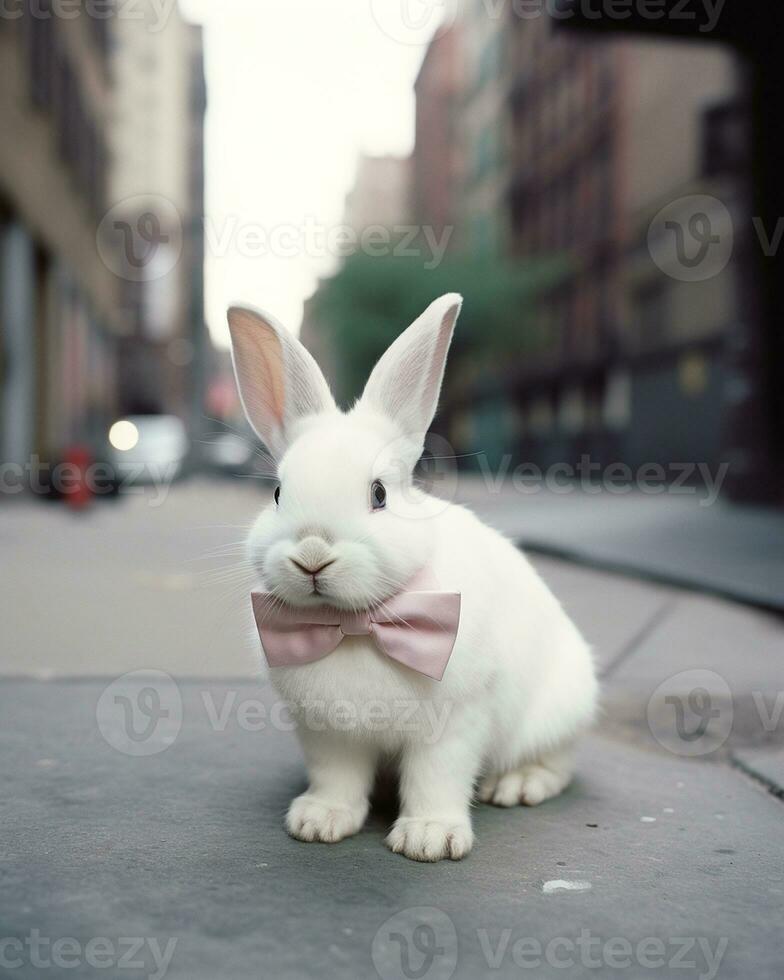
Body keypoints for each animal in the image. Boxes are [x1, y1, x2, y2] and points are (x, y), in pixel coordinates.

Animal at [230, 292, 596, 864]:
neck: (354, 625)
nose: (313, 554)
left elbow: (436, 779)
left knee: (558, 763)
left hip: (556, 710)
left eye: (379, 493)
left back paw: (518, 785)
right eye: (277, 494)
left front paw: (429, 838)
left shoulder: (455, 722)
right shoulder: (328, 733)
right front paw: (318, 821)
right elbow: (337, 778)